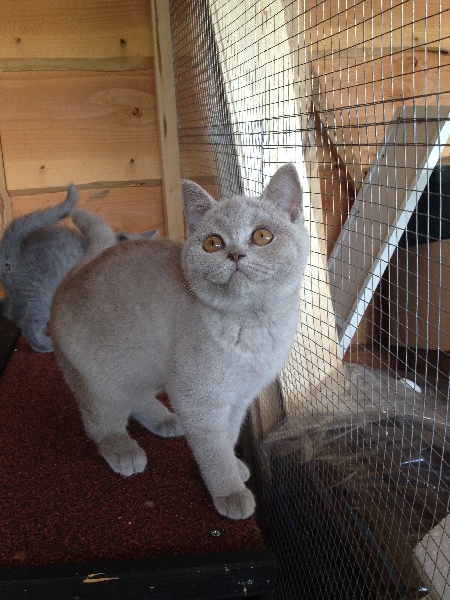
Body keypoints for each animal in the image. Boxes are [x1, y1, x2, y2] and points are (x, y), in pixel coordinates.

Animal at [50, 165, 310, 520]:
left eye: (262, 236)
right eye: (213, 243)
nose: (235, 254)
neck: (253, 328)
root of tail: (74, 274)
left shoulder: (240, 398)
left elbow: (228, 437)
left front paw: (236, 469)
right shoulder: (199, 399)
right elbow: (214, 450)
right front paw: (230, 491)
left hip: (140, 368)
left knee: (136, 400)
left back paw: (166, 420)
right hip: (100, 379)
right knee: (100, 421)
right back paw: (124, 449)